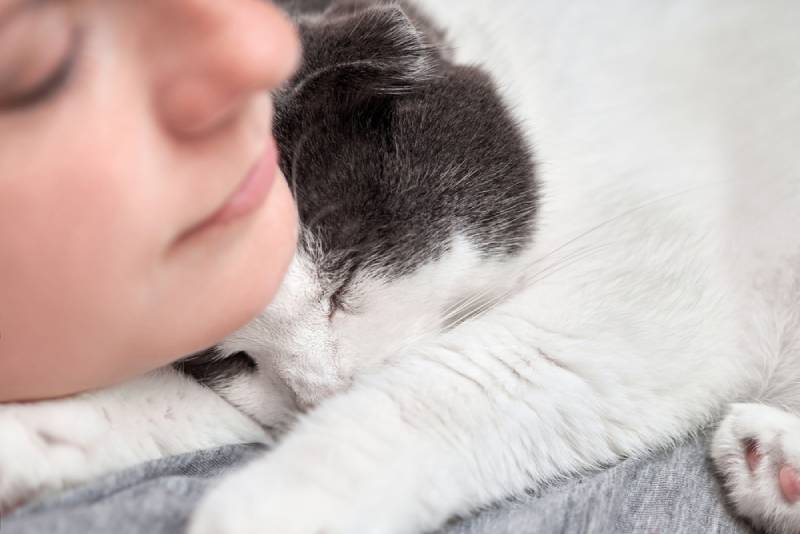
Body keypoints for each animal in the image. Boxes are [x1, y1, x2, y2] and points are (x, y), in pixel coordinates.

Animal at [1, 1, 800, 534]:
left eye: (347, 275)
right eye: (231, 358)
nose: (331, 388)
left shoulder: (641, 295)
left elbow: (431, 393)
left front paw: (274, 504)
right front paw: (47, 431)